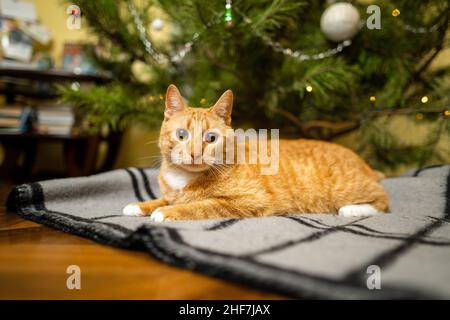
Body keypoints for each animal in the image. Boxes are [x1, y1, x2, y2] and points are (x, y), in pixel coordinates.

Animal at [122, 84, 386, 221]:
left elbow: (199, 205)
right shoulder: (172, 193)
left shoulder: (248, 200)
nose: (195, 154)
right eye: (181, 135)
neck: (184, 178)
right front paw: (141, 205)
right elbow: (164, 199)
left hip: (347, 189)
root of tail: (360, 160)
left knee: (383, 200)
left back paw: (352, 209)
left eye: (211, 138)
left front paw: (165, 212)